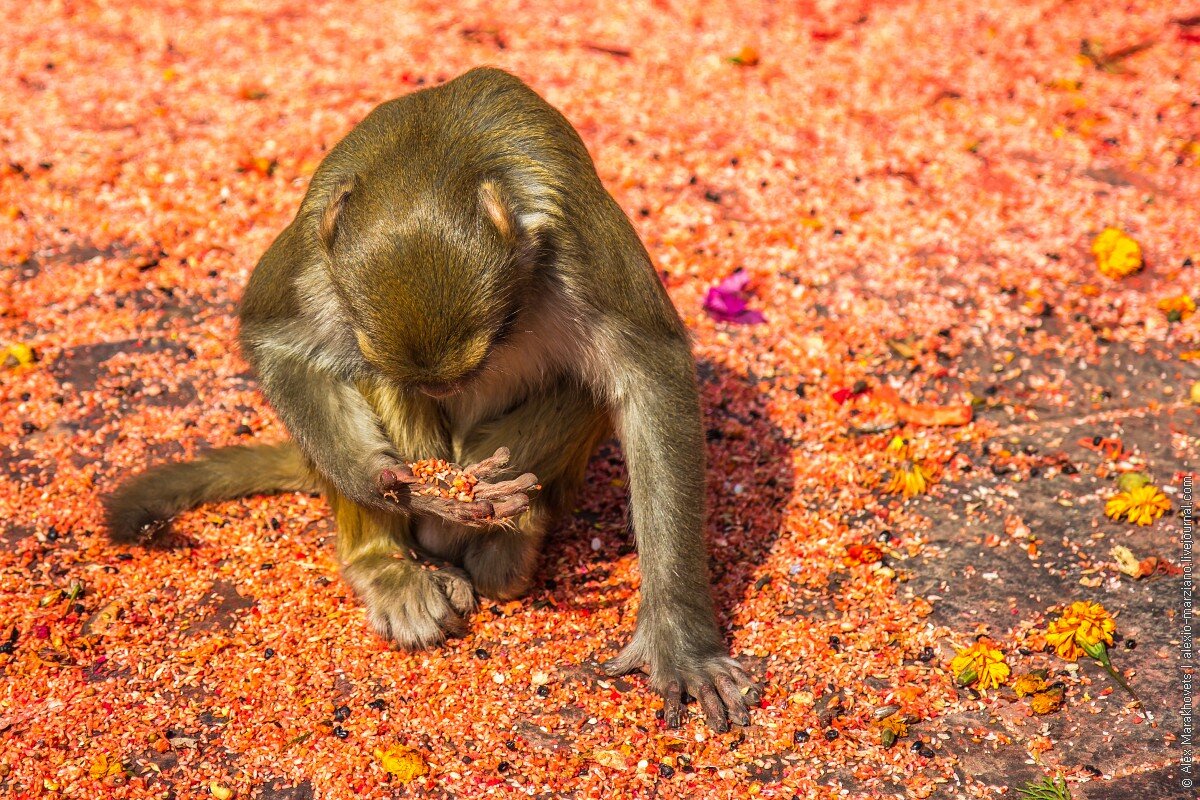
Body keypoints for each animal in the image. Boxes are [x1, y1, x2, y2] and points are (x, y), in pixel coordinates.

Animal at [105, 67, 758, 734]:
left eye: (495, 336)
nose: (442, 387)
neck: (435, 153)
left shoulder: (577, 242)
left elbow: (650, 375)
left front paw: (678, 637)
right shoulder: (315, 255)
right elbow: (276, 340)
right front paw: (399, 488)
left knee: (584, 387)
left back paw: (507, 534)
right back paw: (391, 561)